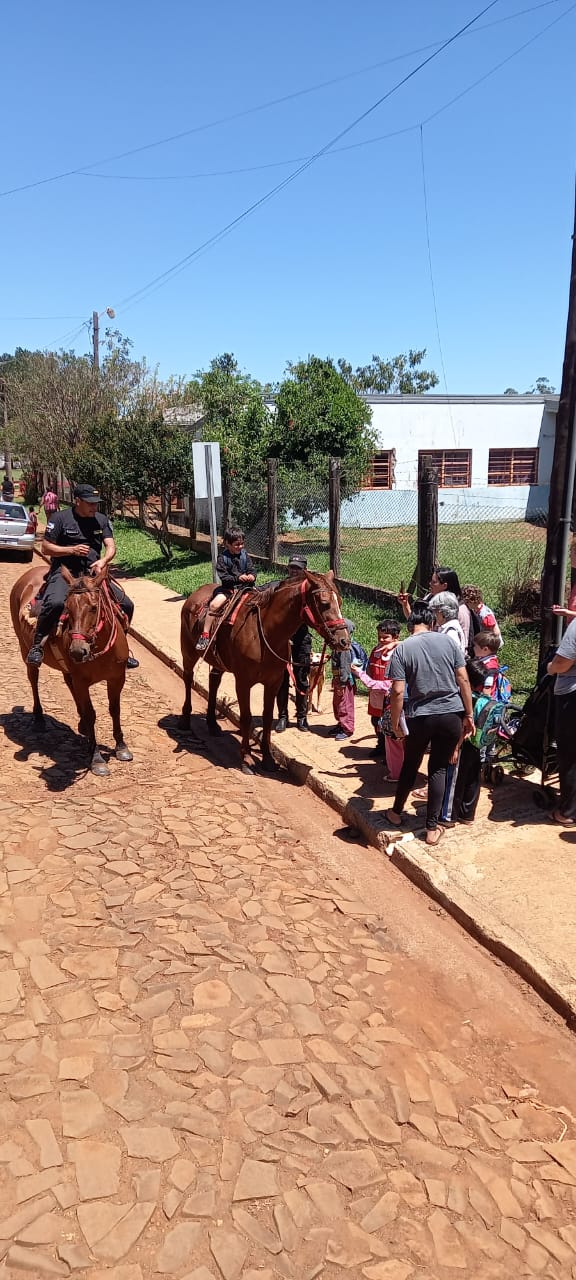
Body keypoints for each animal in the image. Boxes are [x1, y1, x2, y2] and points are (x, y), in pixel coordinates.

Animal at [9, 565, 133, 773]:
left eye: (94, 607)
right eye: (67, 608)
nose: (77, 650)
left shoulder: (117, 678)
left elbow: (115, 709)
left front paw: (121, 746)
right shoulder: (82, 681)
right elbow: (91, 714)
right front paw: (96, 758)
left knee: (68, 682)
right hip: (24, 647)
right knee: (33, 678)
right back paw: (39, 717)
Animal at [181, 568, 348, 768]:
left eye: (340, 602)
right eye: (324, 603)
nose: (344, 640)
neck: (265, 633)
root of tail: (195, 595)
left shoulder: (273, 682)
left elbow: (268, 718)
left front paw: (267, 758)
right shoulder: (243, 682)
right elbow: (246, 717)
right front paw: (246, 758)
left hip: (217, 662)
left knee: (213, 681)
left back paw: (212, 724)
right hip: (188, 653)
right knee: (188, 678)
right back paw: (185, 721)